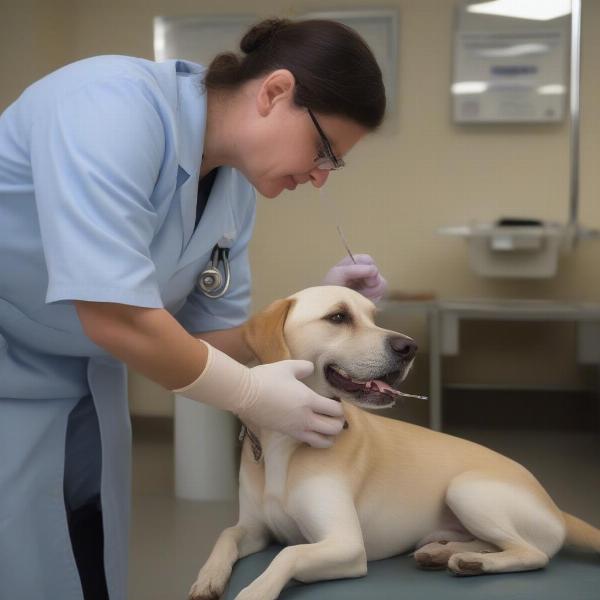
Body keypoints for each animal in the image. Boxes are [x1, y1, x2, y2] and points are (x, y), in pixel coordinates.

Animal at [189, 286, 600, 600]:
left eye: (374, 316)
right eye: (338, 317)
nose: (409, 347)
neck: (285, 442)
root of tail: (555, 507)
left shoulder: (345, 545)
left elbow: (288, 555)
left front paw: (255, 591)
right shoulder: (255, 529)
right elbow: (226, 535)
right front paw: (208, 576)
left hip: (465, 489)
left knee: (533, 553)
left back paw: (475, 562)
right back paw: (446, 553)